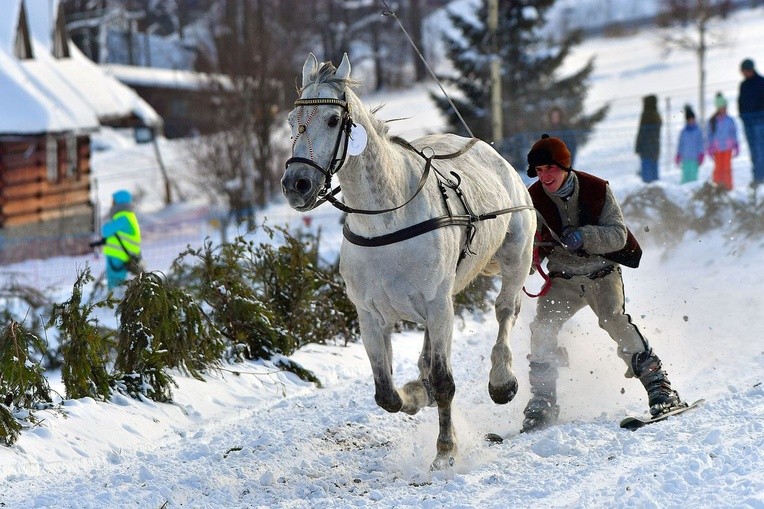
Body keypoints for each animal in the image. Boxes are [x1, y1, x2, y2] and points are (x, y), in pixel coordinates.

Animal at [282, 52, 536, 468]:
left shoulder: (438, 304)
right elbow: (386, 394)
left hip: (516, 254)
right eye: (291, 121)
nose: (296, 184)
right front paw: (417, 394)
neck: (386, 220)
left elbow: (446, 382)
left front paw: (445, 452)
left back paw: (502, 379)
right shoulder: (370, 315)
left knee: (505, 310)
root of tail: (485, 148)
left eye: (333, 120)